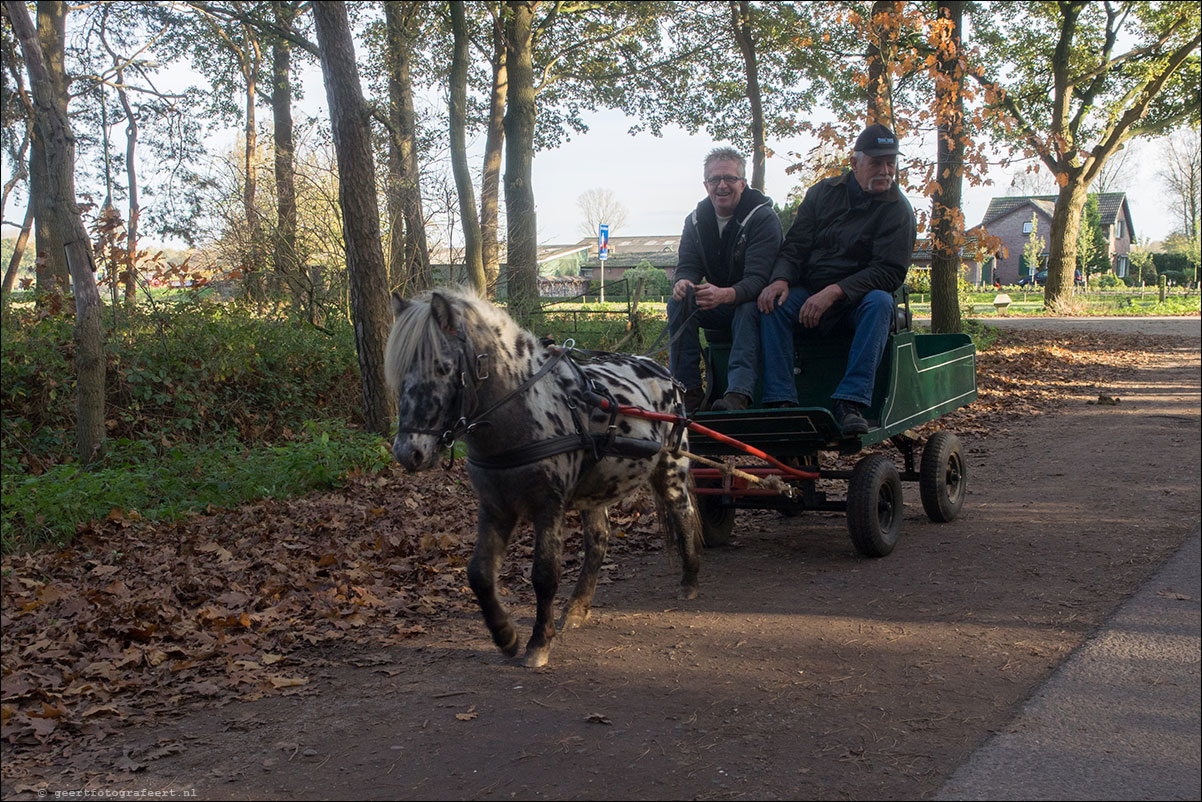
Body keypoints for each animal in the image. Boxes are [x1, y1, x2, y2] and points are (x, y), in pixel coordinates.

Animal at [384, 289, 701, 673]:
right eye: (400, 371)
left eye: (443, 368)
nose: (408, 452)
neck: (521, 413)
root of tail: (661, 369)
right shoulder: (494, 506)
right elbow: (479, 573)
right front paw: (505, 635)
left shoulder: (548, 505)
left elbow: (544, 574)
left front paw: (538, 642)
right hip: (597, 489)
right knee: (599, 540)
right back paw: (577, 607)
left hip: (672, 467)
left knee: (683, 515)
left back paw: (689, 581)